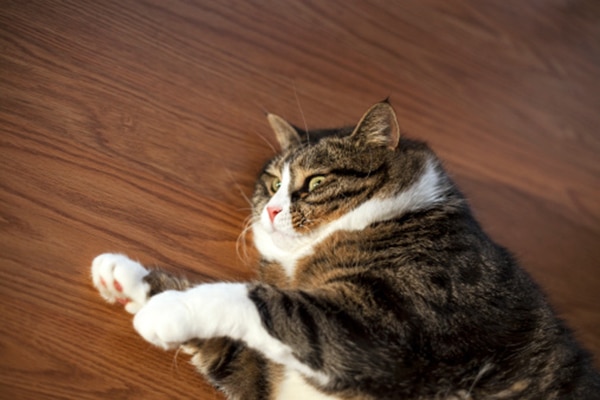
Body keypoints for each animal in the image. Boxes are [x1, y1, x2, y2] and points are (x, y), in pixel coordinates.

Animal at [90, 101, 600, 398]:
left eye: (315, 182)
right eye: (273, 183)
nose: (271, 209)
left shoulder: (375, 327)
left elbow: (261, 301)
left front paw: (164, 312)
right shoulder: (264, 378)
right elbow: (231, 346)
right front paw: (125, 276)